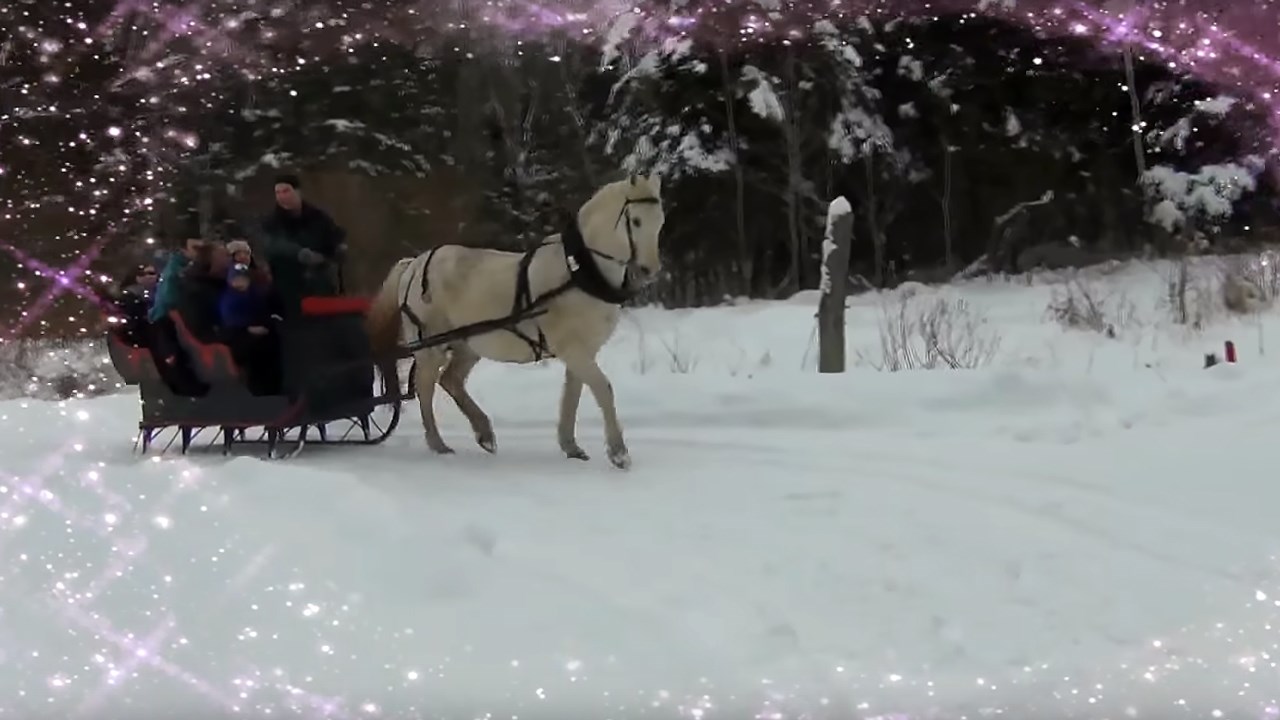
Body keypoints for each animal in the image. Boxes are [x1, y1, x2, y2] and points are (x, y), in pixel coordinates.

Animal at [364, 173, 666, 469]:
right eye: (636, 221)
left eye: (660, 221)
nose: (649, 270)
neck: (579, 274)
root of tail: (414, 263)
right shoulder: (574, 349)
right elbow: (603, 389)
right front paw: (619, 453)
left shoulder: (583, 351)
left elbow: (572, 395)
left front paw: (571, 446)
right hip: (430, 345)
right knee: (425, 388)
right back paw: (438, 443)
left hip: (468, 344)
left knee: (450, 380)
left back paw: (484, 433)